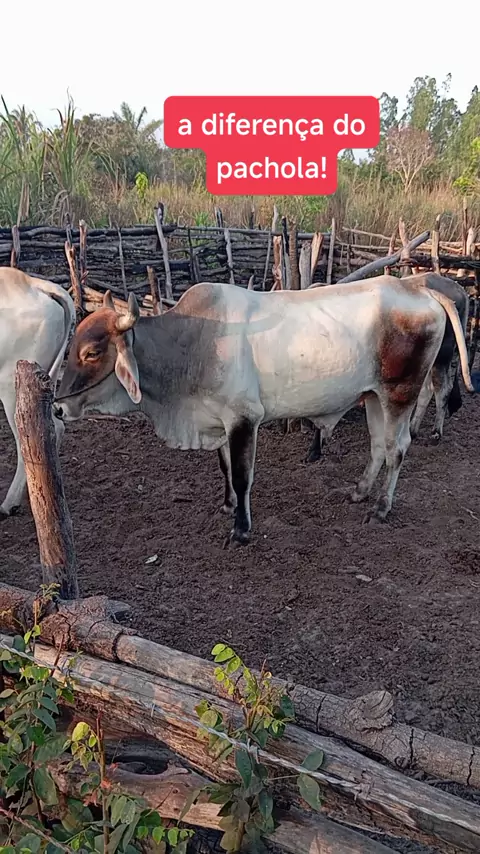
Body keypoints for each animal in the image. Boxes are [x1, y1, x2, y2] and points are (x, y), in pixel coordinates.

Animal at [304, 272, 470, 463]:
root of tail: (458, 289)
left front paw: (314, 450)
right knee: (428, 390)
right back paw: (415, 428)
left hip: (441, 356)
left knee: (442, 389)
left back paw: (436, 432)